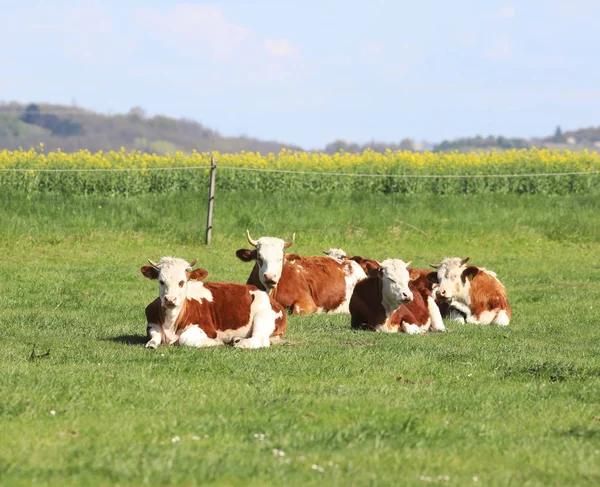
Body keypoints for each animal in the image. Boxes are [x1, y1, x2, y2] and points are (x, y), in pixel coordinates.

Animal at [141, 258, 286, 348]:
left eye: (182, 282)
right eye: (161, 281)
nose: (170, 299)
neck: (171, 323)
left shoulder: (207, 327)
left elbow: (184, 339)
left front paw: (216, 342)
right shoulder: (152, 323)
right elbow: (154, 337)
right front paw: (152, 344)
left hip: (263, 315)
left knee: (259, 339)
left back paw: (240, 344)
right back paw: (236, 339)